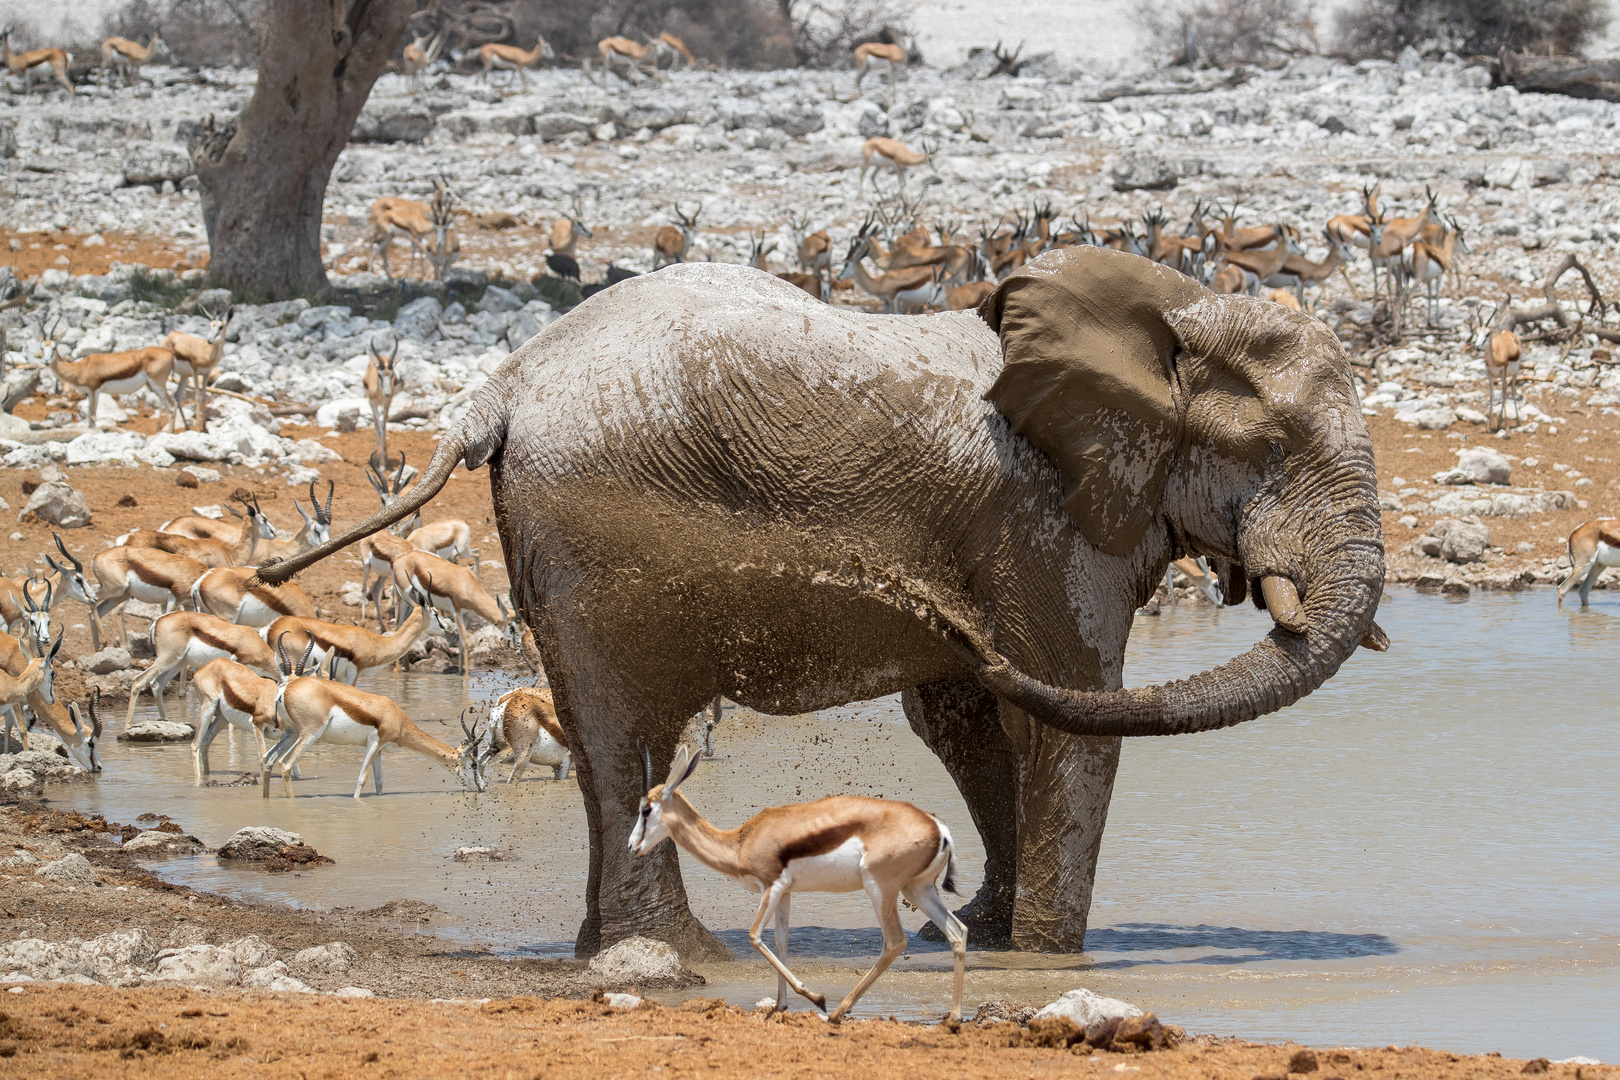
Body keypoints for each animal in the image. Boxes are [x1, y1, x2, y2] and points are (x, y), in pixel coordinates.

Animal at [265, 247, 1380, 965]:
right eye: (1272, 448)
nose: (920, 599)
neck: (1179, 309)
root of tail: (497, 387)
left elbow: (971, 722)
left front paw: (985, 934)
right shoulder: (1044, 520)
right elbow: (1064, 713)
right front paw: (1049, 963)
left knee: (601, 740)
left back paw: (618, 953)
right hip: (597, 537)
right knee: (629, 729)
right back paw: (686, 956)